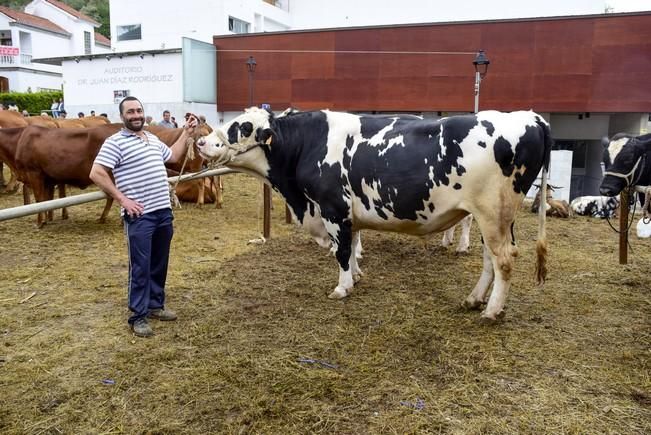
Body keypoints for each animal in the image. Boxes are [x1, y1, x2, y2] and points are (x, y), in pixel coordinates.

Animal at [197, 107, 552, 322]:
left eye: (242, 127)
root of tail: (531, 117)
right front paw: (355, 276)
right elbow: (353, 243)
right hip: (493, 218)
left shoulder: (332, 207)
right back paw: (474, 299)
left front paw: (342, 287)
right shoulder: (348, 213)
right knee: (490, 258)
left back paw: (491, 311)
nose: (202, 142)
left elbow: (341, 251)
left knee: (503, 259)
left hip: (493, 213)